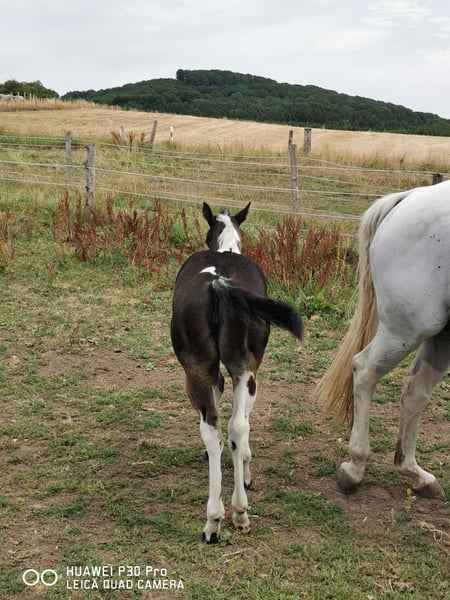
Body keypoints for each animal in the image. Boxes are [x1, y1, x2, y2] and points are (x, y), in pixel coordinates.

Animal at [171, 202, 303, 542]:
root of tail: (218, 284)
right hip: (242, 371)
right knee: (232, 428)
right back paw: (235, 514)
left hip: (200, 373)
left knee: (216, 428)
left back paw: (217, 518)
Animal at [316, 180, 450, 498]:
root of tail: (410, 196)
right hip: (407, 330)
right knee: (364, 370)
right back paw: (354, 469)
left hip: (441, 334)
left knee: (415, 391)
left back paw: (415, 474)